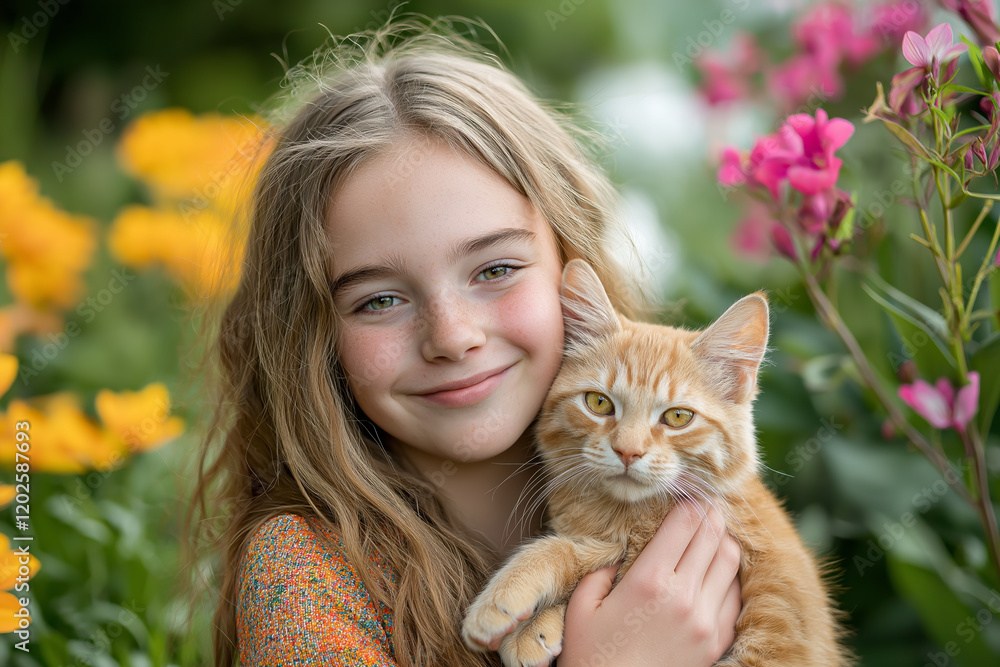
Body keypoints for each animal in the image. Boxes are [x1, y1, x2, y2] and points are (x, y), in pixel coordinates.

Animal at [458, 260, 844, 667]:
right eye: (598, 403)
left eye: (677, 417)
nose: (628, 451)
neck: (627, 516)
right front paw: (535, 626)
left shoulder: (778, 635)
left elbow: (567, 551)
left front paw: (510, 604)